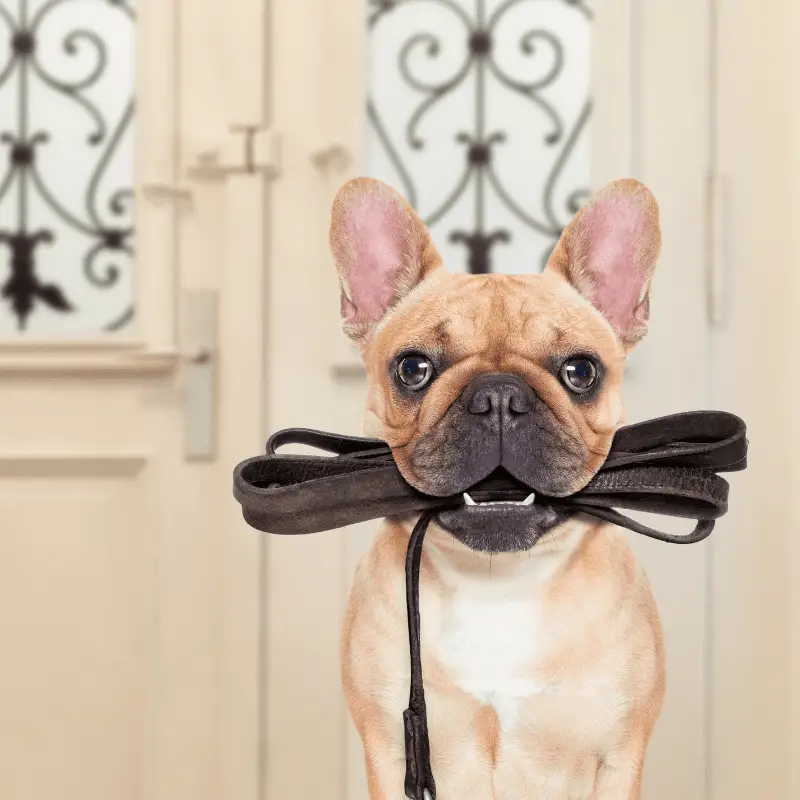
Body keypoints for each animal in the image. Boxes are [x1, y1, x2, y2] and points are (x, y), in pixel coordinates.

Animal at [330, 177, 664, 800]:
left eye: (581, 371)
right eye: (412, 368)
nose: (500, 396)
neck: (497, 581)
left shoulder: (618, 756)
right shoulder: (389, 752)